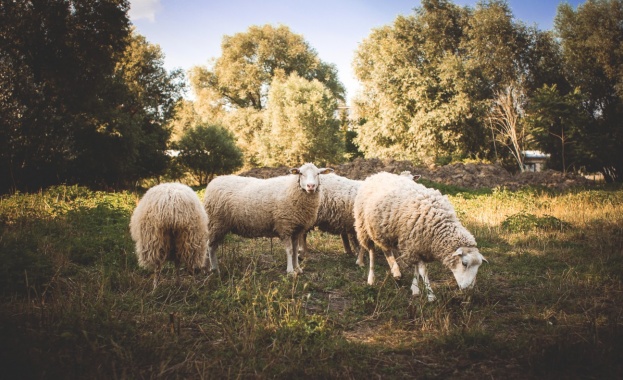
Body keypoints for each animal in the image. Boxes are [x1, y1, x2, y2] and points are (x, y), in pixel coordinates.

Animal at [205, 162, 334, 274]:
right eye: (301, 173)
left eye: (318, 174)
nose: (310, 186)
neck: (293, 189)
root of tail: (214, 181)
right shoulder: (285, 226)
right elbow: (289, 250)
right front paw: (290, 271)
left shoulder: (297, 229)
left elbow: (296, 249)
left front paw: (298, 268)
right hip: (216, 222)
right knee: (210, 246)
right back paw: (213, 269)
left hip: (220, 225)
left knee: (213, 246)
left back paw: (213, 268)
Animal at [356, 171, 488, 300]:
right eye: (464, 263)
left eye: (478, 267)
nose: (468, 289)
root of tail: (376, 174)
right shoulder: (413, 244)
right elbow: (423, 271)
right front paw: (430, 295)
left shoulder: (419, 245)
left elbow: (417, 269)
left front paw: (415, 288)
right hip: (364, 227)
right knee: (372, 252)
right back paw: (371, 278)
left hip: (384, 231)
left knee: (386, 250)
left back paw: (396, 271)